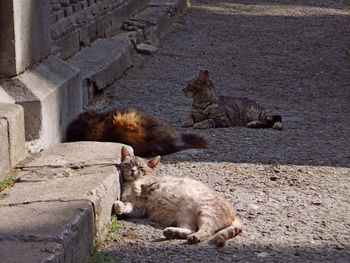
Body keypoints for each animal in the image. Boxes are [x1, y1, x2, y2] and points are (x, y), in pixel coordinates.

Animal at [115, 146, 243, 248]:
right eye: (128, 164)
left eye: (140, 168)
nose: (132, 170)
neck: (128, 184)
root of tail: (234, 215)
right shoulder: (138, 208)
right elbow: (127, 205)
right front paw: (119, 206)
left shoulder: (152, 181)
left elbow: (141, 181)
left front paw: (136, 187)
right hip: (185, 218)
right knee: (191, 229)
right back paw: (173, 232)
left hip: (207, 212)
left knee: (207, 231)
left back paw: (195, 237)